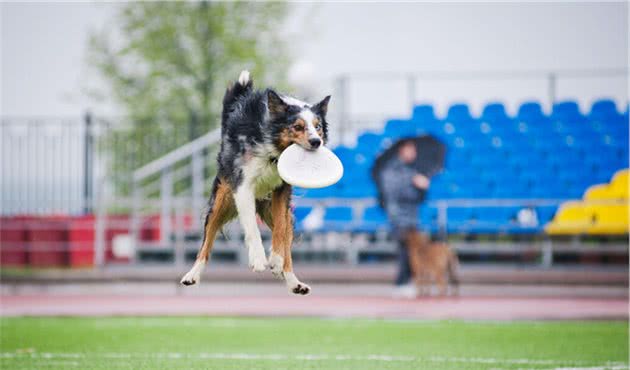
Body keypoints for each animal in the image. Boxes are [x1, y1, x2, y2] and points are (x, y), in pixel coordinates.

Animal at [180, 70, 334, 294]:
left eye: (318, 127)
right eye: (298, 127)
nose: (316, 142)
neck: (274, 149)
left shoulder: (282, 190)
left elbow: (280, 231)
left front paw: (276, 260)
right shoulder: (243, 186)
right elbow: (252, 228)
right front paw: (259, 260)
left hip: (281, 212)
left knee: (287, 241)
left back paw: (293, 281)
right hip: (221, 200)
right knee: (206, 243)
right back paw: (192, 275)